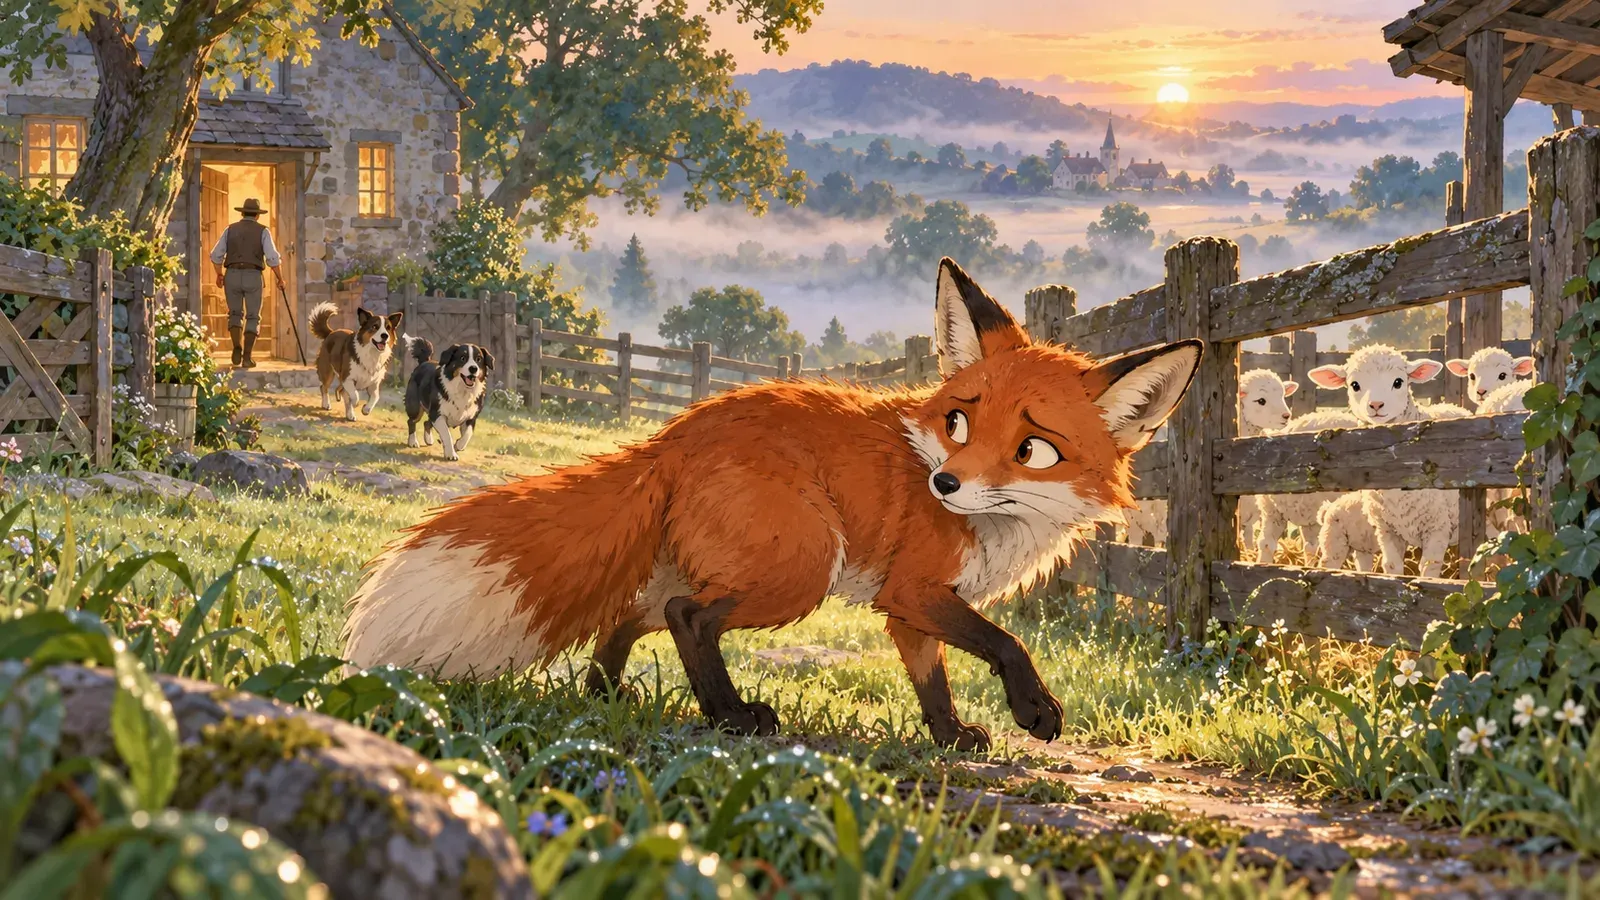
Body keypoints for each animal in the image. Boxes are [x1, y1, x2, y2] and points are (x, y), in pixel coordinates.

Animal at [341, 259, 1202, 750]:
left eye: (1034, 449)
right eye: (959, 422)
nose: (945, 486)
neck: (999, 527)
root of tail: (677, 431)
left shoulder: (909, 606)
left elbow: (932, 679)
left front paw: (950, 736)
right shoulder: (916, 587)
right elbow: (1005, 642)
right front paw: (1035, 710)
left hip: (728, 566)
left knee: (635, 613)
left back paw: (609, 693)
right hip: (801, 568)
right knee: (689, 618)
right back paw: (729, 717)